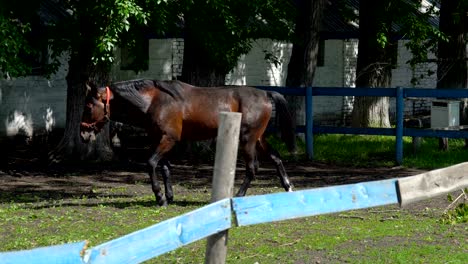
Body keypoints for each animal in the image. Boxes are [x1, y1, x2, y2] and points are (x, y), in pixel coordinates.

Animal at [78, 79, 294, 206]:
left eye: (88, 106)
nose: (83, 134)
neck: (154, 101)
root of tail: (265, 93)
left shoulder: (168, 139)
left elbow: (151, 163)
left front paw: (159, 196)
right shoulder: (159, 139)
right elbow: (164, 167)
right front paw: (168, 197)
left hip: (248, 139)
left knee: (252, 167)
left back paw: (238, 196)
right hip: (258, 139)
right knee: (276, 158)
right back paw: (288, 187)